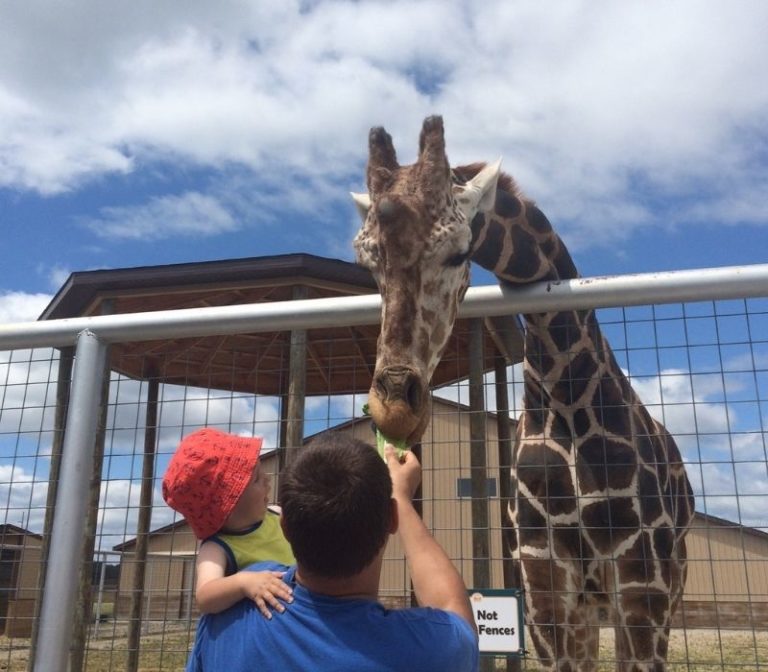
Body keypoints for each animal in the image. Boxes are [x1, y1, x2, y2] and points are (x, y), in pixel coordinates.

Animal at [354, 117, 696, 672]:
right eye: (367, 262)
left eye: (459, 252)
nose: (396, 407)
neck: (565, 396)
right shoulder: (543, 584)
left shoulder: (643, 581)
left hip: (668, 585)